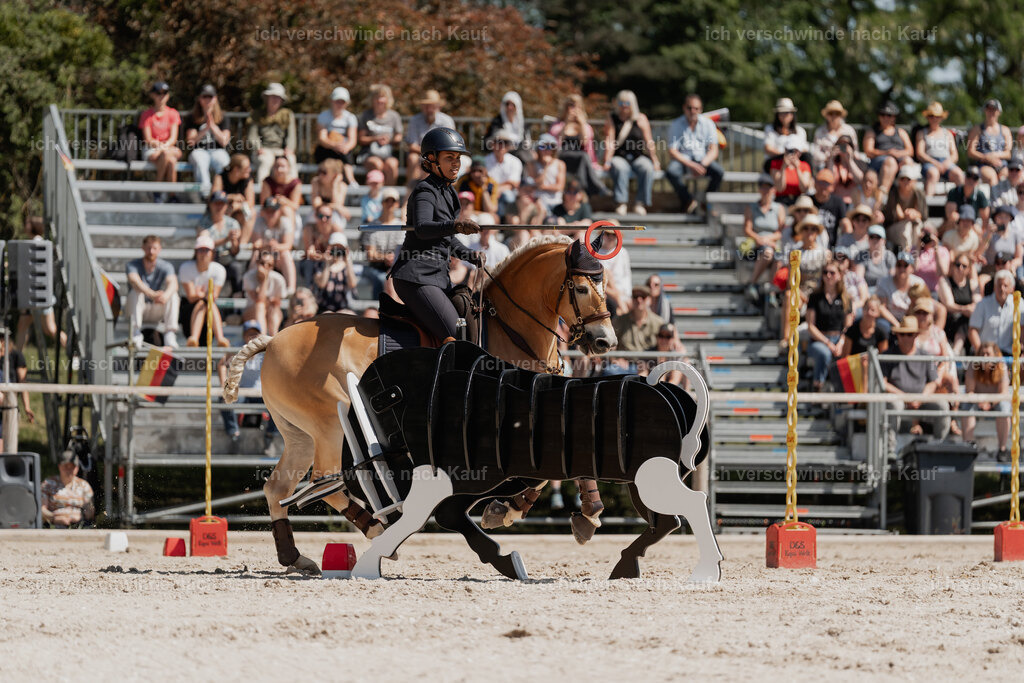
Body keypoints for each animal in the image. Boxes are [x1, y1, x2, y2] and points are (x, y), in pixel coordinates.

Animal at [223, 235, 617, 574]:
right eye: (583, 288)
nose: (605, 342)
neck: (512, 331)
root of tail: (274, 340)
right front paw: (504, 510)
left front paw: (588, 514)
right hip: (331, 427)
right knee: (326, 482)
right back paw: (375, 529)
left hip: (301, 436)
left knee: (278, 489)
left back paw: (295, 557)